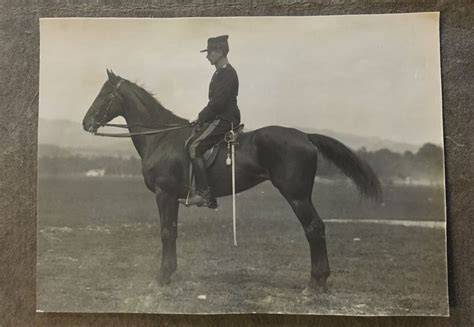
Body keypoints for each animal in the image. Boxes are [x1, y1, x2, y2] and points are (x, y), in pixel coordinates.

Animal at [83, 70, 384, 294]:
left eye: (104, 94)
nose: (86, 123)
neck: (161, 137)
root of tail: (305, 136)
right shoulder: (171, 198)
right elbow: (173, 232)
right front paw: (169, 274)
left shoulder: (164, 194)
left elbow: (166, 232)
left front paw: (161, 277)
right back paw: (318, 282)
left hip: (297, 195)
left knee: (314, 228)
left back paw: (315, 283)